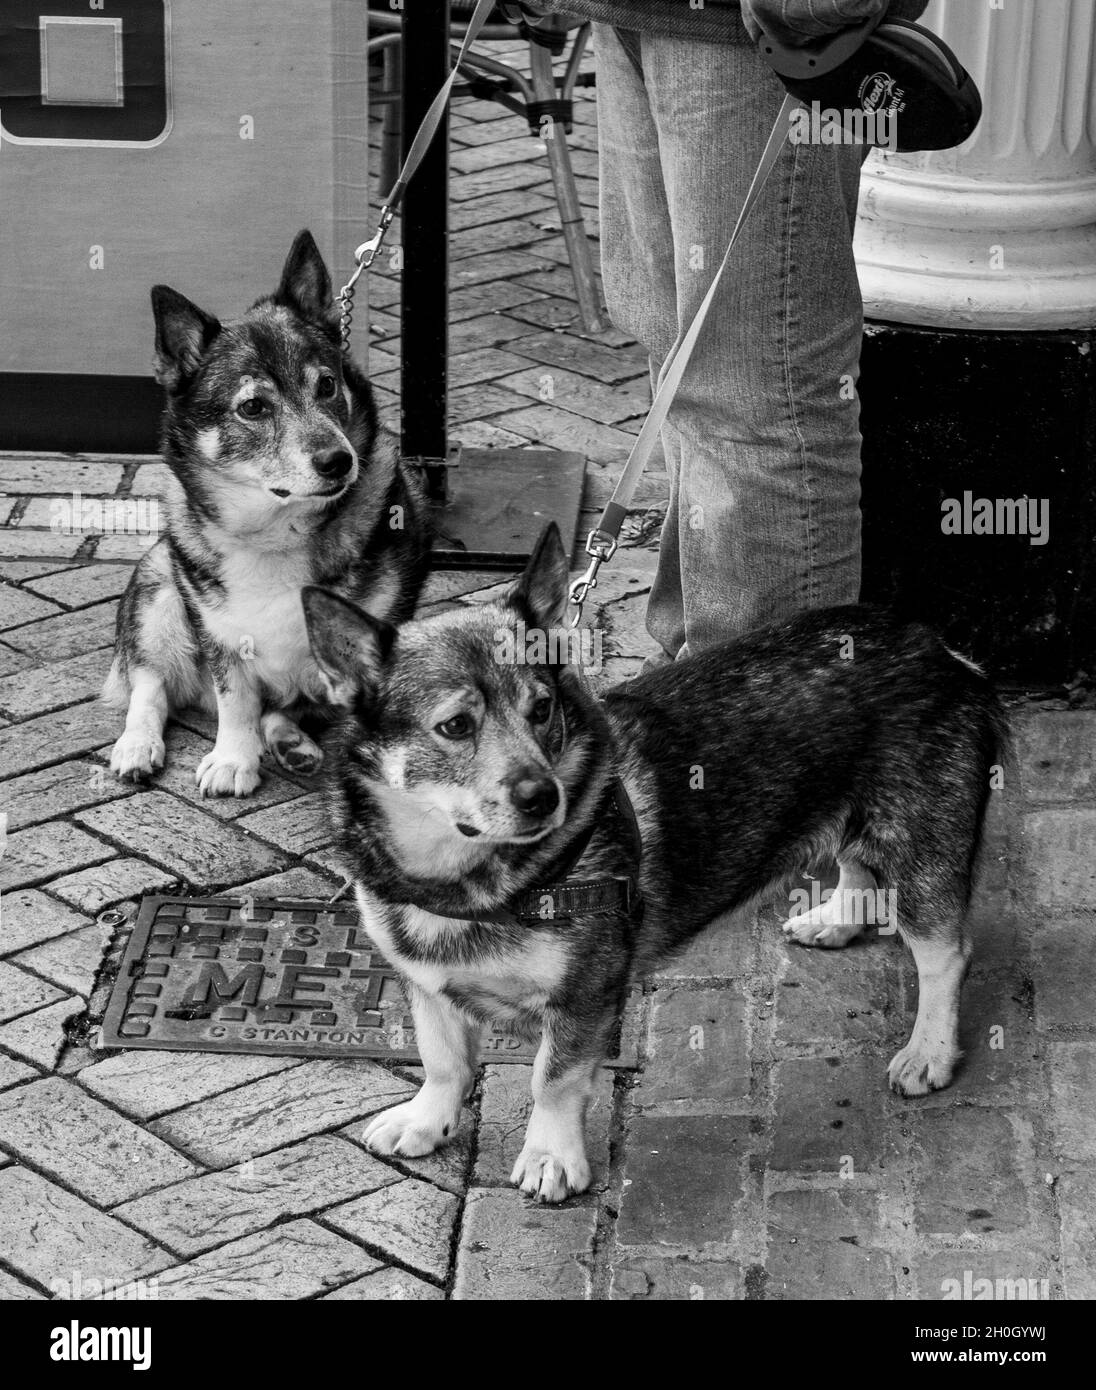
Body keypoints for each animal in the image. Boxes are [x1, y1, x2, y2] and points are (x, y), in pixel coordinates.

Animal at [105, 227, 425, 795]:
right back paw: (138, 745)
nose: (339, 461)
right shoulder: (217, 634)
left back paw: (290, 743)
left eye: (326, 385)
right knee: (150, 685)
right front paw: (234, 758)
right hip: (159, 586)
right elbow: (236, 700)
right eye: (253, 407)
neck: (276, 532)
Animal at [304, 525, 1006, 1200]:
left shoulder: (585, 996)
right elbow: (444, 1059)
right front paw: (428, 1120)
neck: (463, 879)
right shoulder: (425, 984)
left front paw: (551, 1157)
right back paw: (836, 919)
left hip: (919, 850)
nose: (544, 797)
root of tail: (937, 646)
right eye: (455, 726)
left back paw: (928, 1052)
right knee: (857, 863)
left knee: (945, 953)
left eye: (542, 710)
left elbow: (552, 1078)